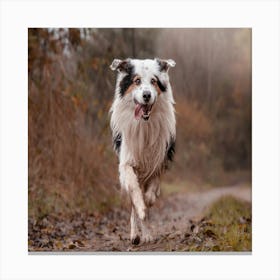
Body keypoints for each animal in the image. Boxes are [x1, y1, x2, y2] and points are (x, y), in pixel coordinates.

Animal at [109, 58, 175, 244]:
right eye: (137, 81)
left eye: (153, 81)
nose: (146, 95)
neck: (144, 125)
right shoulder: (126, 163)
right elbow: (134, 191)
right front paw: (141, 207)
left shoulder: (158, 161)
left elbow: (151, 193)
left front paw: (147, 201)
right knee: (132, 203)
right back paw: (135, 234)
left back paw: (145, 234)